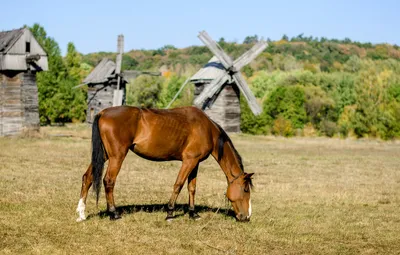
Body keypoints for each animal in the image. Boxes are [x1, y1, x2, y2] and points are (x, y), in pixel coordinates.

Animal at [76, 105, 253, 221]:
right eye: (245, 190)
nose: (246, 217)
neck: (207, 129)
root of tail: (103, 112)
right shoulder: (189, 161)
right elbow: (178, 185)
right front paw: (170, 213)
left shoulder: (195, 163)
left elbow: (192, 188)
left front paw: (193, 213)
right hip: (116, 156)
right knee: (109, 181)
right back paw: (113, 213)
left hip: (104, 155)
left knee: (88, 178)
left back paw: (82, 214)